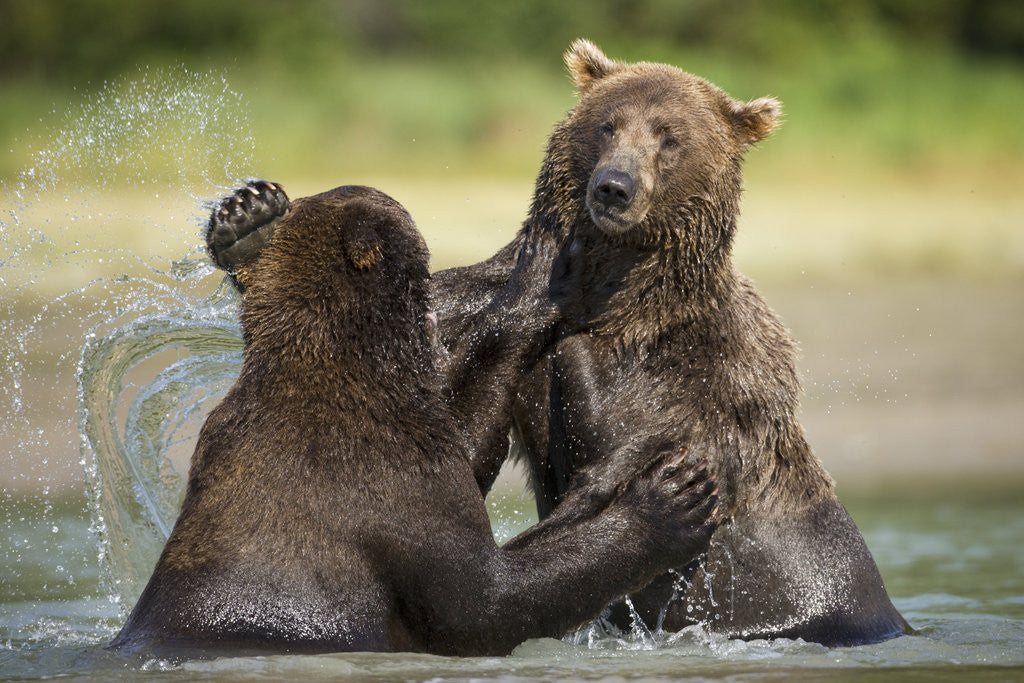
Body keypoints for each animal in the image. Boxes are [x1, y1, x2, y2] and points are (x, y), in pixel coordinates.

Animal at [203, 41, 909, 646]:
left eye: (670, 138)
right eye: (608, 125)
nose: (613, 187)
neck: (622, 295)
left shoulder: (697, 385)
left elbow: (616, 454)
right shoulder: (482, 309)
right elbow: (447, 390)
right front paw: (250, 223)